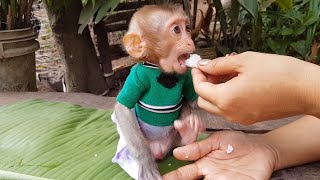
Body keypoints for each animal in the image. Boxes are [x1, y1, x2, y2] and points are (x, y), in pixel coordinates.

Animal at [111, 3, 205, 179]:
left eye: (187, 28)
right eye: (177, 30)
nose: (190, 42)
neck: (162, 71)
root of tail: (160, 150)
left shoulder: (186, 75)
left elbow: (193, 101)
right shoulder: (137, 75)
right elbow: (123, 109)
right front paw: (145, 162)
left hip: (172, 143)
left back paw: (188, 134)